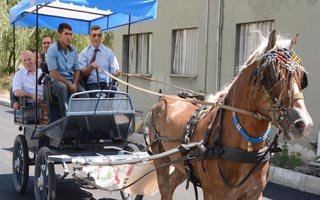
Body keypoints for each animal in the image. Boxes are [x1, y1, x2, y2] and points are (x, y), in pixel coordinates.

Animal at [144, 30, 312, 200]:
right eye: (272, 74)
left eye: (302, 77)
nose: (304, 124)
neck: (245, 150)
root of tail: (163, 99)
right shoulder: (213, 194)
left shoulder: (255, 194)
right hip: (161, 159)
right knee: (165, 187)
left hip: (182, 165)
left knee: (170, 186)